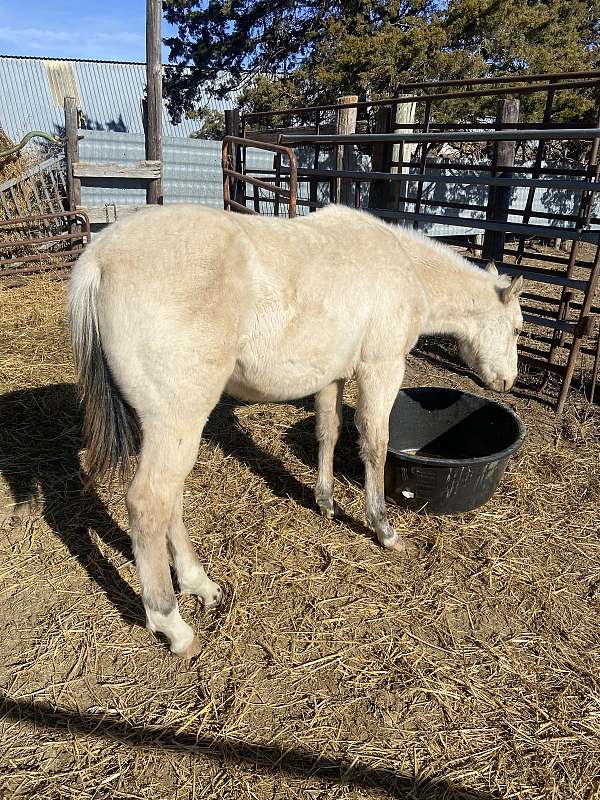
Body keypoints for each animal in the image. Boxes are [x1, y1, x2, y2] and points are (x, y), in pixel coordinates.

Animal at [69, 202, 520, 656]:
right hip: (177, 419)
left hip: (170, 426)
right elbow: (374, 443)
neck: (405, 267)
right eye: (517, 328)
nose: (508, 381)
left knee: (170, 502)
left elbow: (329, 432)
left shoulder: (330, 377)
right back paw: (174, 626)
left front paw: (326, 502)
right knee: (150, 504)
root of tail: (99, 258)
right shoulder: (381, 367)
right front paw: (384, 529)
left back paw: (201, 585)